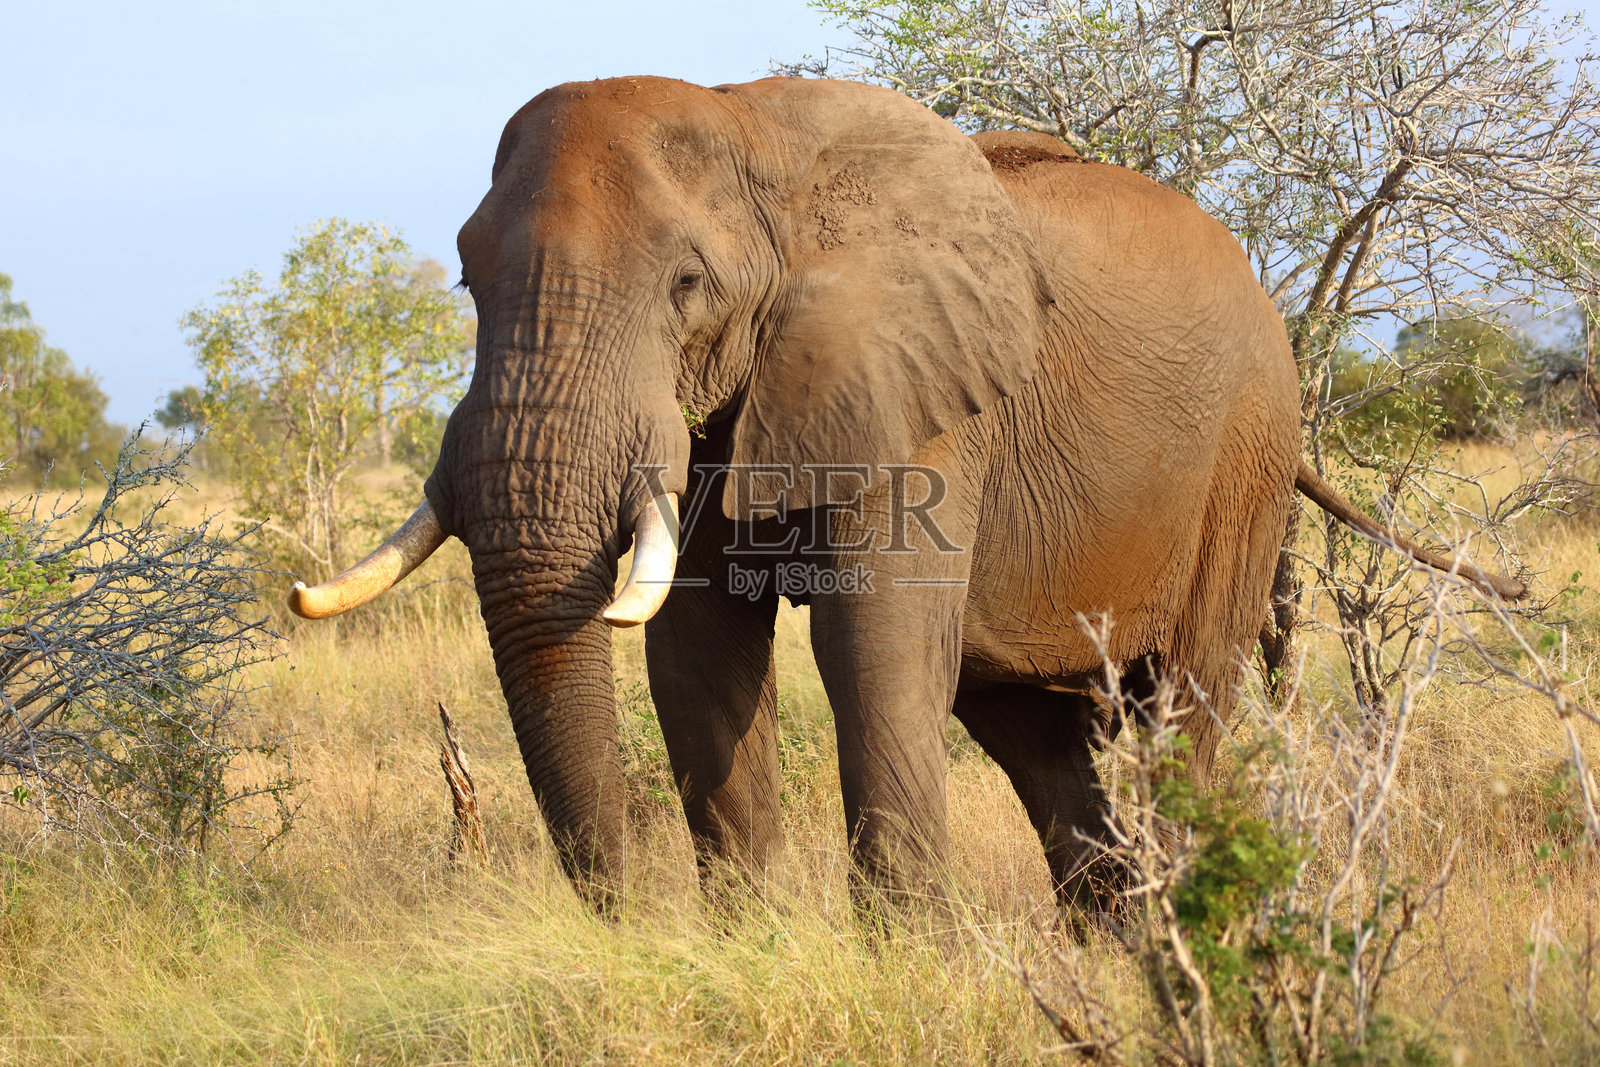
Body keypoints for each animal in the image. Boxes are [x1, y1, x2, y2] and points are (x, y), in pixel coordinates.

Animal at [288, 76, 1524, 913]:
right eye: (464, 277)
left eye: (686, 283)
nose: (625, 917)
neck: (754, 139)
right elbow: (696, 657)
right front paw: (746, 947)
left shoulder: (927, 405)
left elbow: (871, 645)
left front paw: (902, 959)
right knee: (1041, 744)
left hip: (1242, 461)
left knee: (1187, 704)